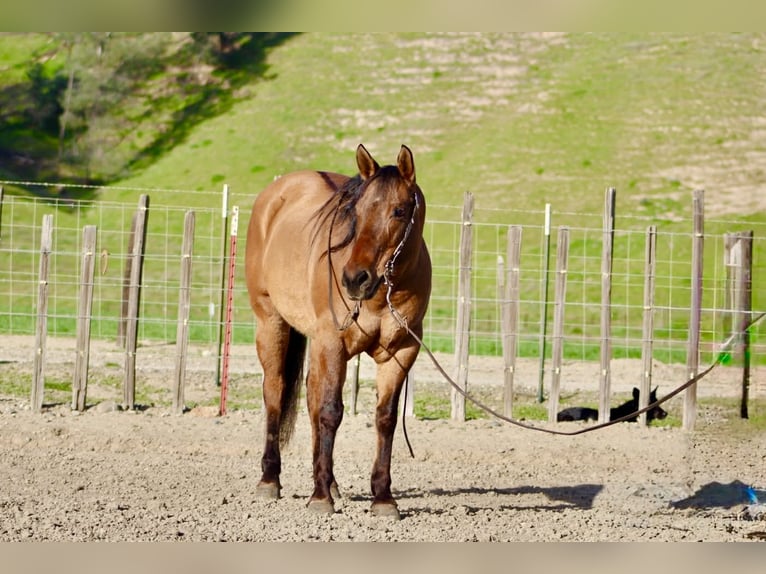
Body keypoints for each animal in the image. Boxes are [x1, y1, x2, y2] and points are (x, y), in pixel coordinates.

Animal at [245, 144, 431, 519]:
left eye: (399, 210)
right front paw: (319, 499)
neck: (384, 292)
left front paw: (383, 497)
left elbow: (385, 418)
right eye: (356, 211)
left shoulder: (401, 352)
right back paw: (271, 479)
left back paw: (328, 482)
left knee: (312, 398)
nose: (354, 278)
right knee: (275, 392)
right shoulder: (334, 344)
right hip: (271, 323)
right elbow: (331, 412)